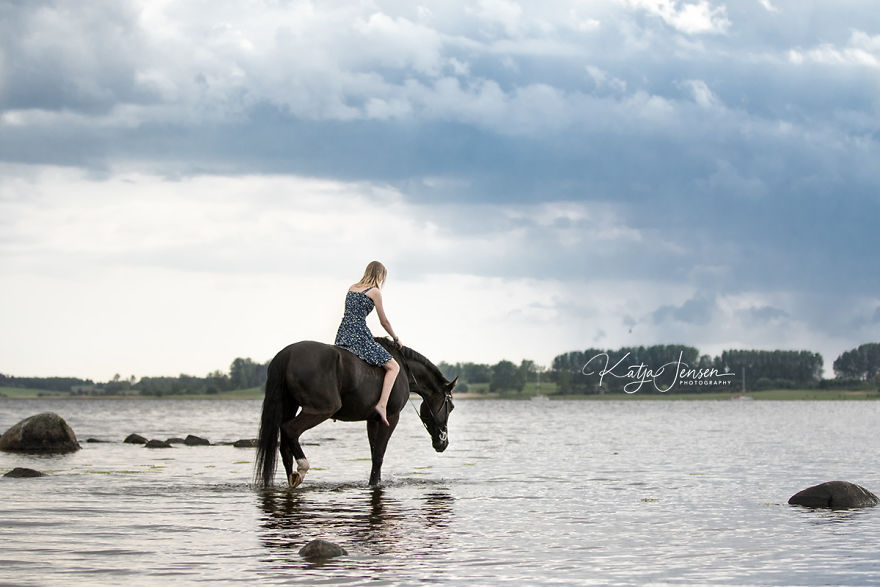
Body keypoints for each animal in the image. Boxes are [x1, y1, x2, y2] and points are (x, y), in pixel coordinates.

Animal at [255, 337, 457, 488]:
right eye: (451, 407)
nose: (443, 442)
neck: (404, 370)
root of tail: (287, 354)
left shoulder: (373, 420)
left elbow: (374, 453)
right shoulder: (390, 418)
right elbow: (379, 454)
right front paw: (373, 484)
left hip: (289, 407)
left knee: (284, 445)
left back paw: (292, 476)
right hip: (320, 410)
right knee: (290, 430)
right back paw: (302, 468)